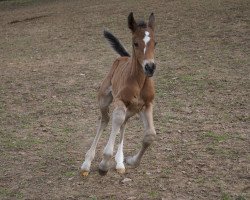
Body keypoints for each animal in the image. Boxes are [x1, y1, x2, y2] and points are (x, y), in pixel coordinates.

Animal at [81, 12, 157, 176]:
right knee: (105, 120)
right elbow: (116, 119)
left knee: (123, 124)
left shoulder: (147, 105)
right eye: (135, 43)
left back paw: (120, 162)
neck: (138, 81)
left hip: (133, 109)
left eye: (155, 43)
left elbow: (150, 135)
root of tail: (123, 57)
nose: (150, 67)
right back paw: (87, 163)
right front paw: (104, 164)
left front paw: (131, 161)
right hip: (104, 99)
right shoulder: (120, 101)